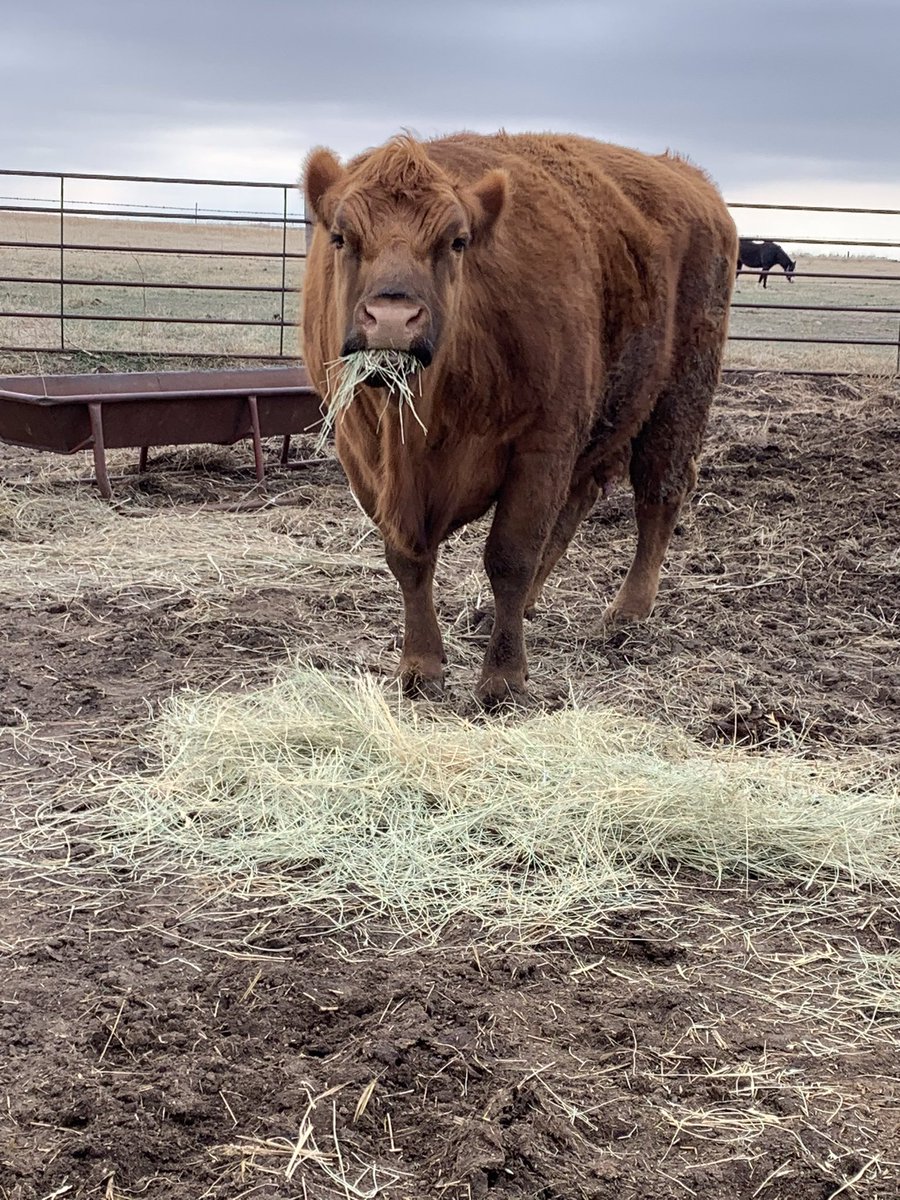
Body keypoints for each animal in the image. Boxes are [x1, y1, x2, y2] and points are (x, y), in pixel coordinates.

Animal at [303, 129, 739, 700]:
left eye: (457, 241)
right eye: (340, 236)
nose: (393, 318)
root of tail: (694, 183)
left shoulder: (541, 444)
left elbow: (510, 556)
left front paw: (502, 678)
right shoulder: (364, 455)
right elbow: (408, 560)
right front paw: (420, 667)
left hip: (679, 400)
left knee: (658, 496)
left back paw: (627, 611)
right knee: (581, 499)